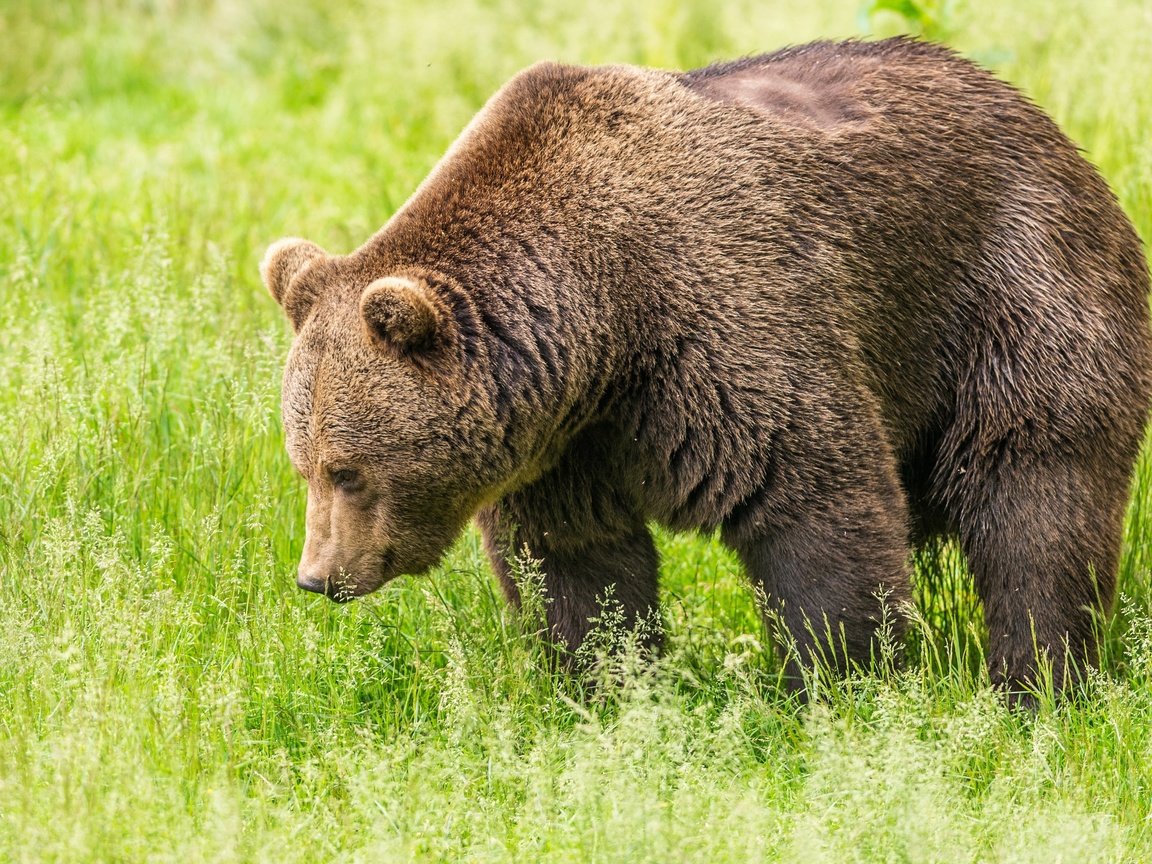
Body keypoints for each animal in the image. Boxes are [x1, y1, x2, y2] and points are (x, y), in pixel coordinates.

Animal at [261, 37, 1152, 700]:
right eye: (302, 464)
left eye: (347, 470)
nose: (317, 577)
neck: (603, 320)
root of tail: (1043, 121)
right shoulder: (564, 441)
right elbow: (579, 566)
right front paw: (608, 690)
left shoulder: (727, 321)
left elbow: (817, 505)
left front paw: (837, 685)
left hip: (1010, 294)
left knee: (1036, 498)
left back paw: (1034, 683)